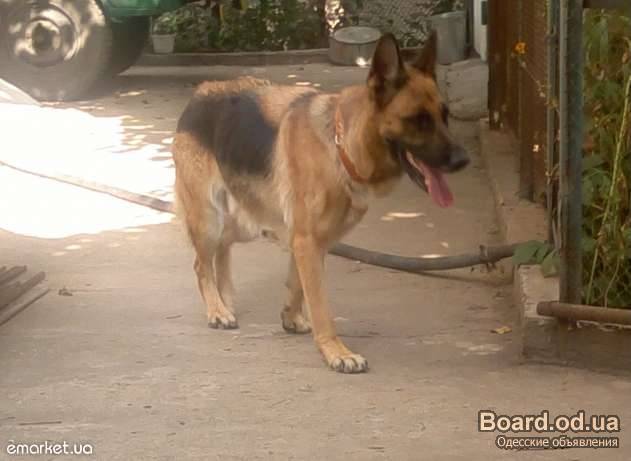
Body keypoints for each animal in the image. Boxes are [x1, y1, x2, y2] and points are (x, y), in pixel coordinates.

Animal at [172, 32, 469, 373]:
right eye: (418, 120)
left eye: (444, 116)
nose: (464, 160)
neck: (340, 147)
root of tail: (200, 91)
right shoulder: (307, 240)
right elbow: (320, 305)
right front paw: (336, 351)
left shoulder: (310, 241)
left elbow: (297, 283)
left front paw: (291, 317)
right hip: (209, 218)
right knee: (201, 263)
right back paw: (216, 309)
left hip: (243, 221)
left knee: (222, 250)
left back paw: (225, 300)